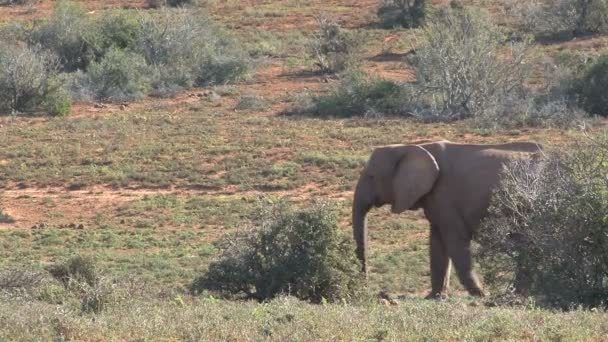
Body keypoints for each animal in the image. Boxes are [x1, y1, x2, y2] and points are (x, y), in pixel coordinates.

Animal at [352, 140, 540, 298]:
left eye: (372, 176)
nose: (370, 291)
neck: (410, 146)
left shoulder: (446, 198)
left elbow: (455, 242)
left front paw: (480, 295)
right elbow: (437, 244)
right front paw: (434, 297)